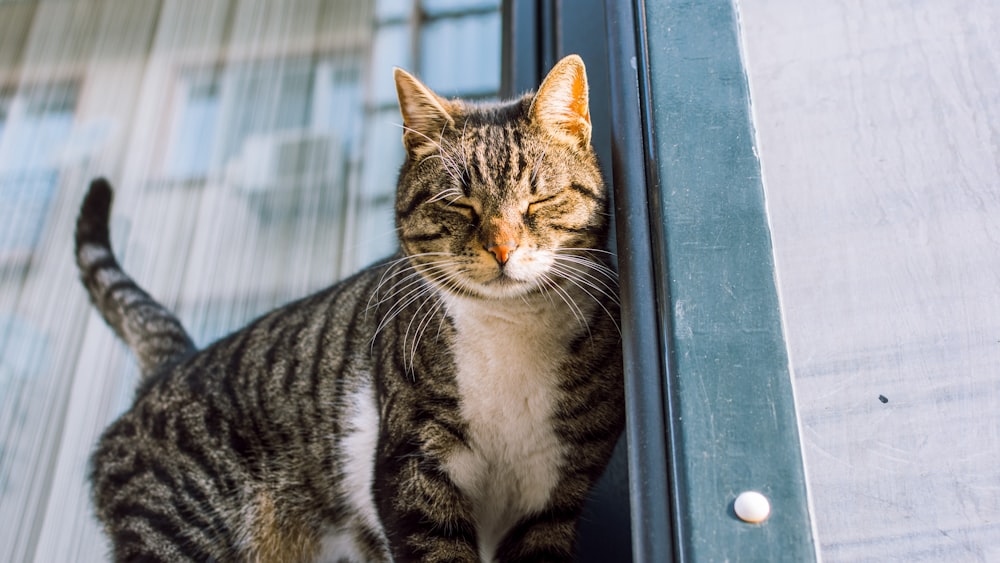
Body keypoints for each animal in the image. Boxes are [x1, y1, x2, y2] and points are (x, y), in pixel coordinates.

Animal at [76, 54, 624, 563]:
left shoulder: (552, 498)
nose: (503, 248)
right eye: (458, 205)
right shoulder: (411, 473)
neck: (512, 327)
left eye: (540, 200)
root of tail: (169, 366)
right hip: (178, 530)